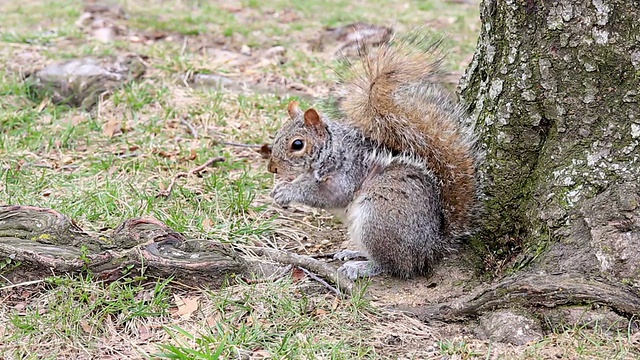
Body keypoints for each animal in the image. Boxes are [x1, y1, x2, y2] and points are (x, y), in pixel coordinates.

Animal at [266, 30, 480, 278]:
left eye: (297, 144)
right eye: (278, 134)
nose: (272, 168)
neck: (333, 149)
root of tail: (431, 247)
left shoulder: (347, 174)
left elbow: (328, 195)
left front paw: (287, 192)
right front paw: (280, 188)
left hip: (377, 220)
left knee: (393, 265)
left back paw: (361, 267)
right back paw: (352, 253)